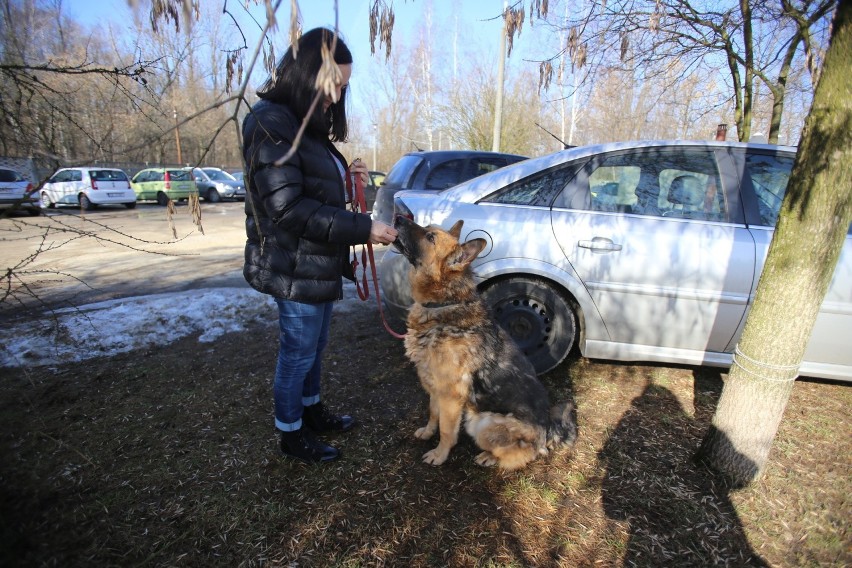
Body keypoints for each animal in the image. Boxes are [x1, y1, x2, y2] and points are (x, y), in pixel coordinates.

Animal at [392, 217, 580, 470]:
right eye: (428, 228)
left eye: (430, 237)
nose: (398, 217)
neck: (444, 304)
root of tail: (547, 430)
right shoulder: (433, 384)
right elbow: (433, 413)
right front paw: (428, 432)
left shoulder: (451, 394)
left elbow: (446, 430)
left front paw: (440, 454)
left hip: (481, 424)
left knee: (524, 454)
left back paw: (489, 457)